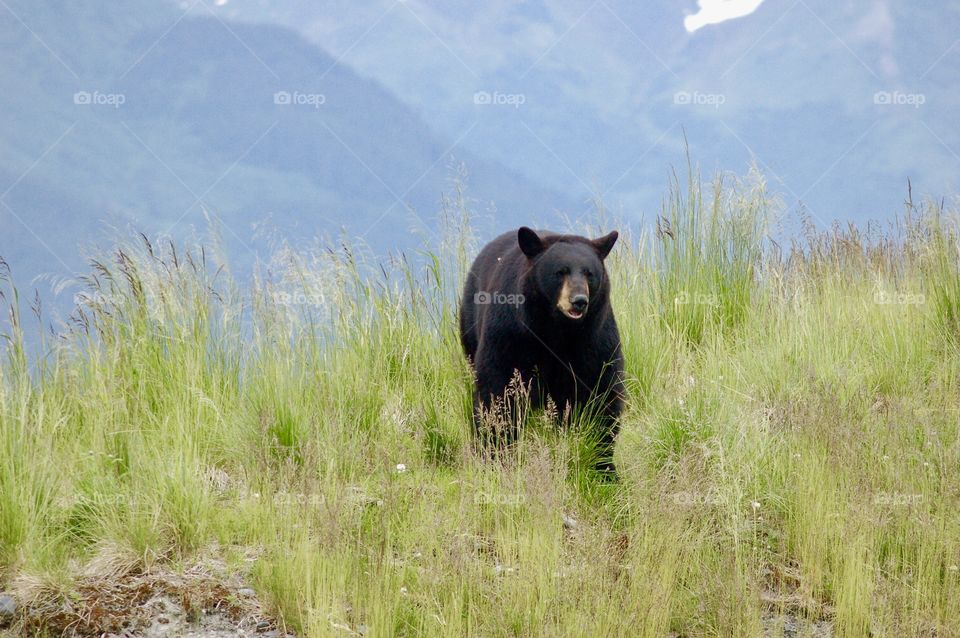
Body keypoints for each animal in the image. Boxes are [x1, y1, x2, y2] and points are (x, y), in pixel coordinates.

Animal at [459, 226, 625, 474]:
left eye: (589, 273)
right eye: (560, 272)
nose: (579, 301)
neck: (556, 330)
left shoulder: (594, 338)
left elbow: (601, 390)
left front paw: (603, 464)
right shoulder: (510, 333)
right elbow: (499, 387)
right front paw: (496, 452)